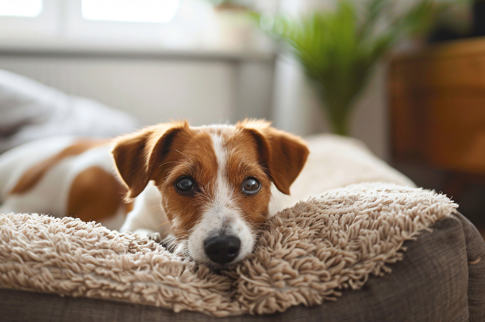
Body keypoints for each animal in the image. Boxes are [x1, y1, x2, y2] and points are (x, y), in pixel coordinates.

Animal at [0, 119, 308, 266]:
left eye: (252, 184)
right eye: (184, 184)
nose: (222, 247)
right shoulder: (131, 224)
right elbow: (141, 233)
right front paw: (156, 238)